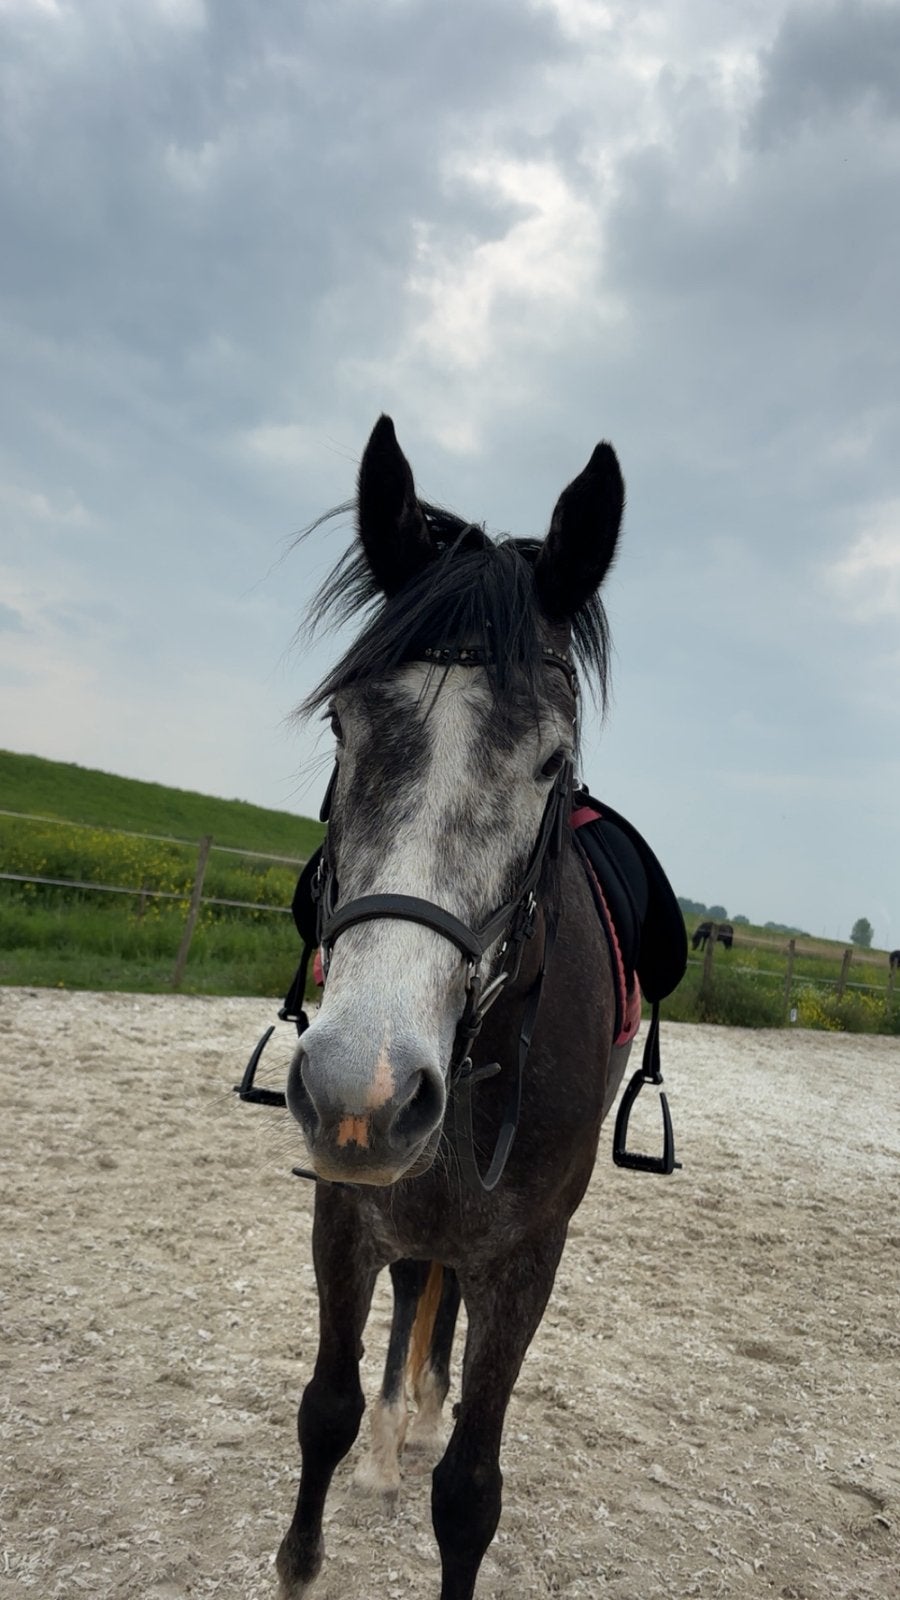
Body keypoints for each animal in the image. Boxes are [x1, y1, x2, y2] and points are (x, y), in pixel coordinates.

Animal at [273, 414, 650, 1600]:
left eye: (549, 759)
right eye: (343, 725)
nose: (363, 1091)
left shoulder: (528, 1258)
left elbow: (471, 1495)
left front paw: (444, 1444)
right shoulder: (343, 1210)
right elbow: (326, 1407)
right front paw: (314, 1539)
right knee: (414, 1292)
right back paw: (398, 1430)